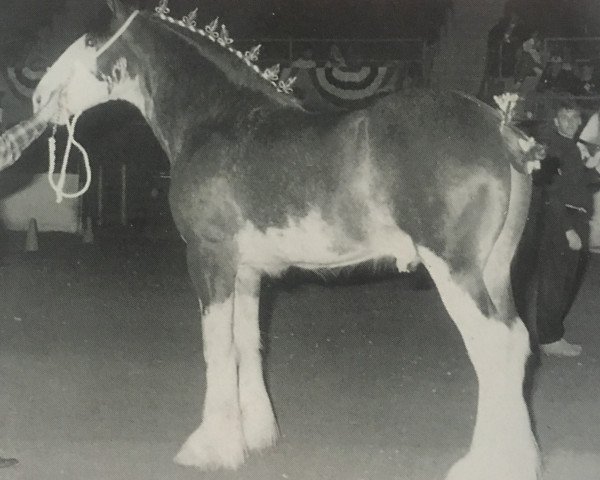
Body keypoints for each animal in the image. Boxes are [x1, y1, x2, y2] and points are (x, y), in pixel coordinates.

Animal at [35, 1, 548, 478]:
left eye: (89, 39)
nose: (39, 97)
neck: (220, 121)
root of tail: (501, 130)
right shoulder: (245, 270)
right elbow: (246, 341)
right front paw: (256, 434)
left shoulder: (208, 256)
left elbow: (216, 346)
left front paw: (210, 447)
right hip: (495, 270)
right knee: (517, 343)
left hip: (455, 271)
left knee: (493, 345)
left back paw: (485, 464)